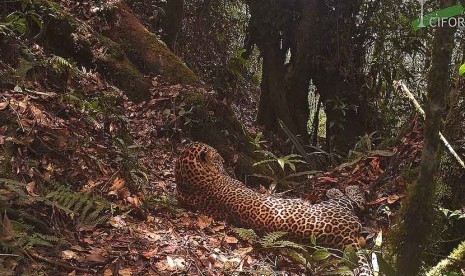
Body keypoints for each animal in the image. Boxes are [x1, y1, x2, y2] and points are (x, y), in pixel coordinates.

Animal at [174, 141, 374, 274]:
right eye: (216, 156)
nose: (223, 159)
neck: (188, 180)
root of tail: (347, 238)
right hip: (334, 207)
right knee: (355, 202)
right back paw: (344, 189)